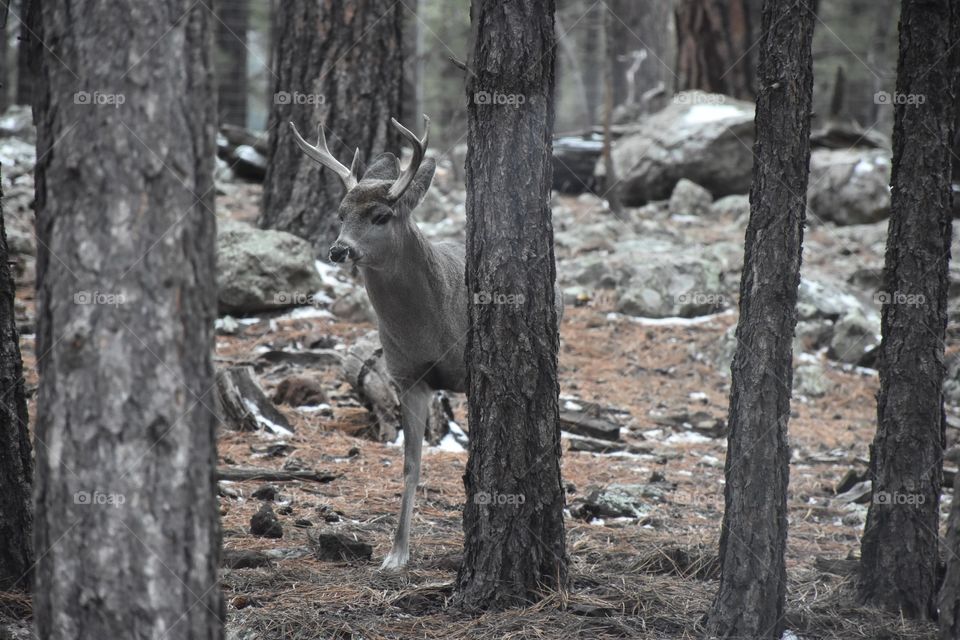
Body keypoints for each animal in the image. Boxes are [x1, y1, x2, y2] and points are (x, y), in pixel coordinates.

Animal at [289, 114, 562, 571]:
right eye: (341, 213)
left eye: (381, 215)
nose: (339, 250)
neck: (427, 326)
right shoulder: (408, 378)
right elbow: (410, 464)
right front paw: (396, 554)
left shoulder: (472, 372)